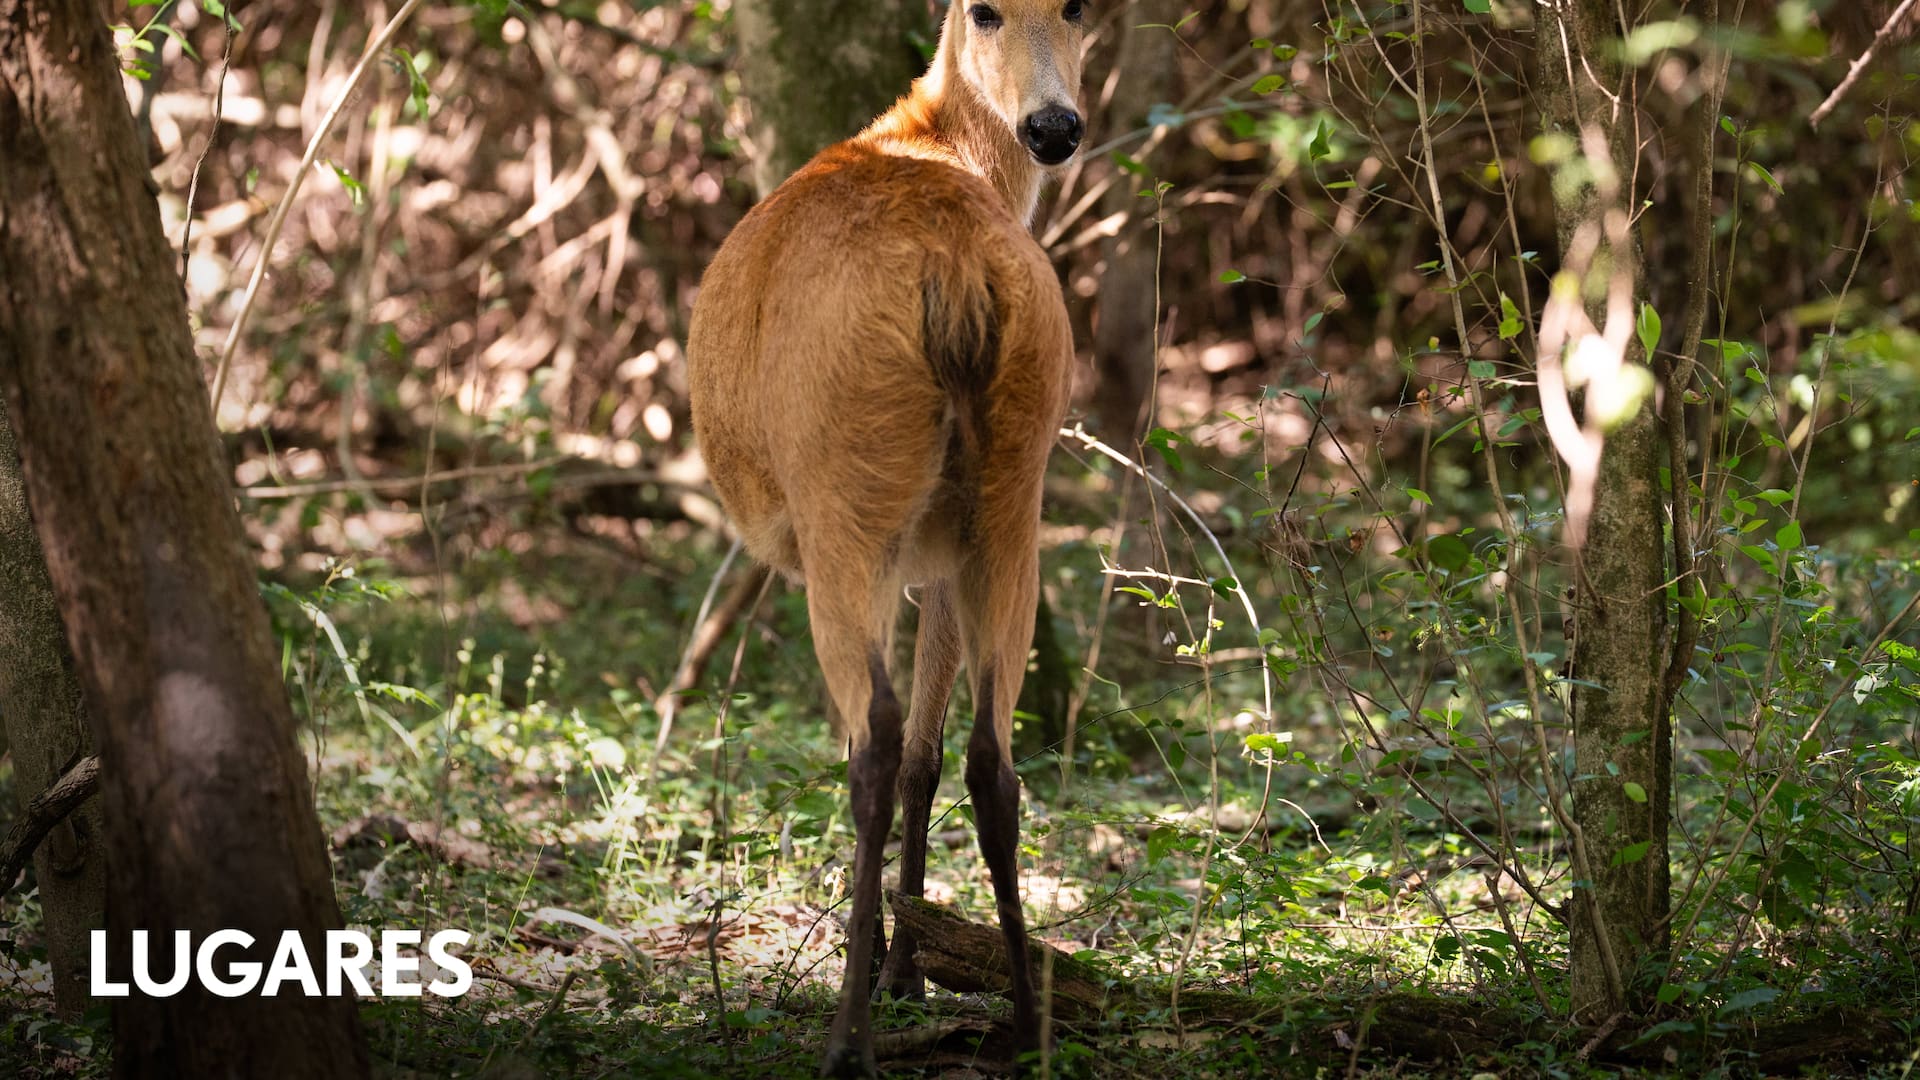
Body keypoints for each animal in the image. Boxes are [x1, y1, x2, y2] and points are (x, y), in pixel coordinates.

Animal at [686, 0, 1087, 1074]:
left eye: (1078, 6)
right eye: (985, 8)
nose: (1054, 126)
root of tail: (958, 266)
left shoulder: (885, 549)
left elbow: (892, 747)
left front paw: (886, 972)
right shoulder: (941, 552)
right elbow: (930, 755)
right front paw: (912, 967)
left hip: (845, 498)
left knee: (869, 742)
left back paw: (846, 1036)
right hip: (1014, 490)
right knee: (993, 758)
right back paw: (1025, 1023)